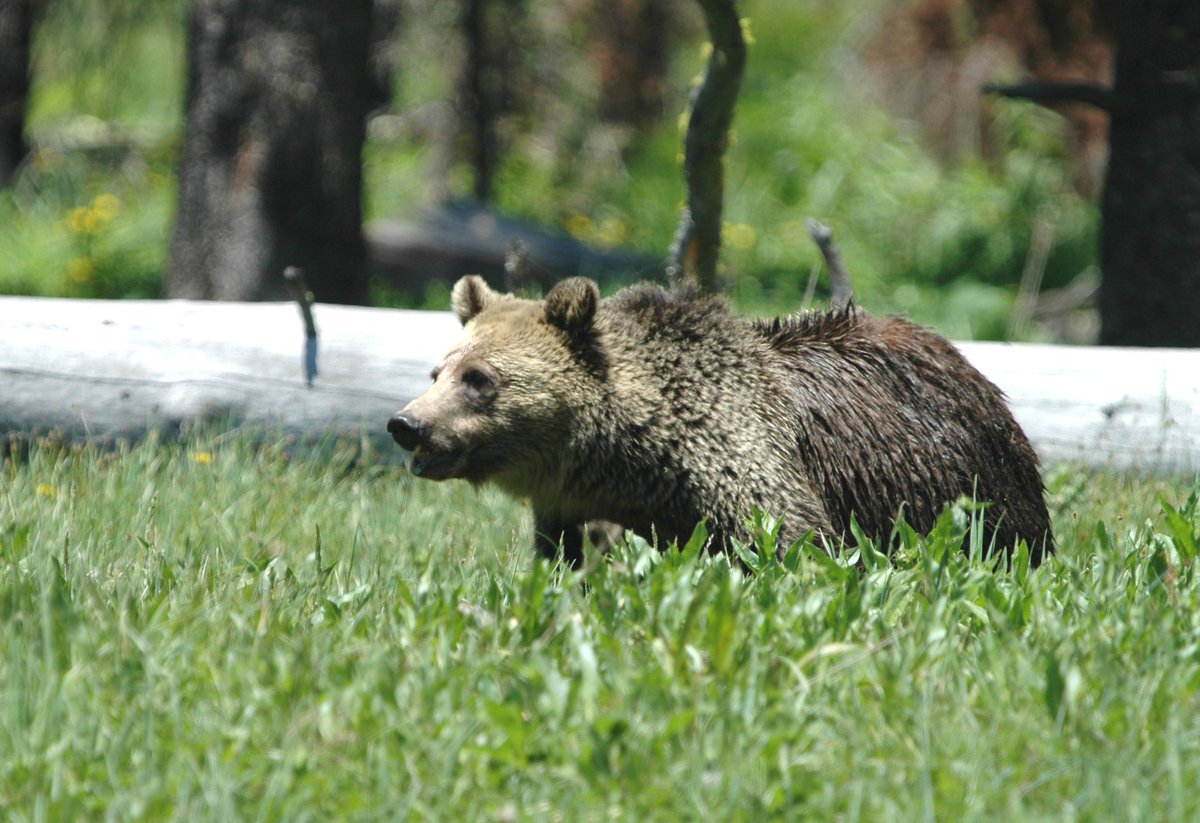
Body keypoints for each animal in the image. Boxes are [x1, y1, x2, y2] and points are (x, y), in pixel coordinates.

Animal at [388, 275, 1054, 568]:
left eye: (479, 378)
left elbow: (793, 544)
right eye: (438, 371)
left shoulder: (750, 461)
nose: (407, 424)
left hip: (971, 484)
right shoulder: (568, 507)